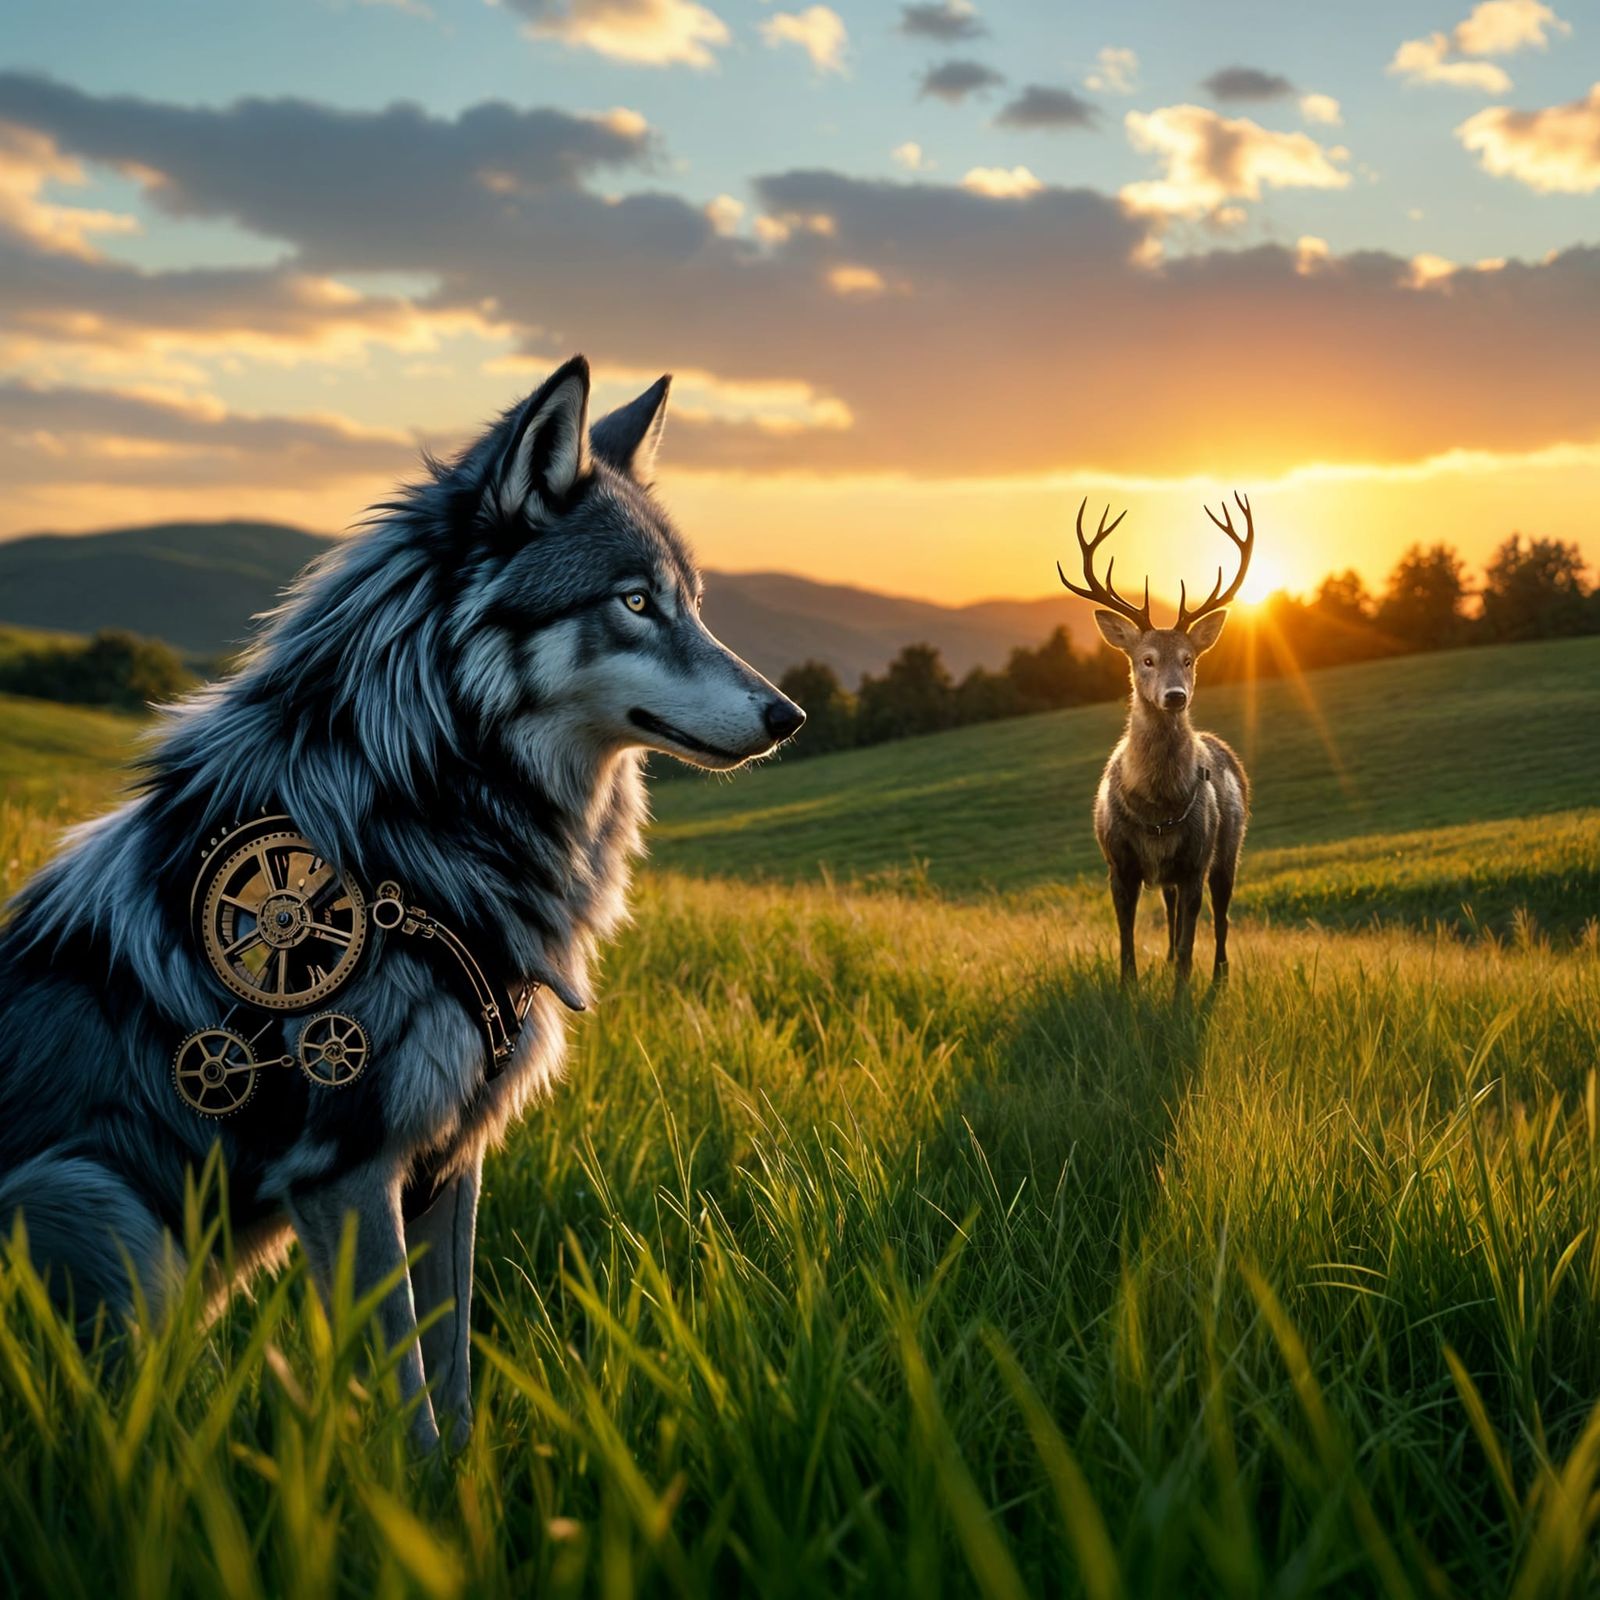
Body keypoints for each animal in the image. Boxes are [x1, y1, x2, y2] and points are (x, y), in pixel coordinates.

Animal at [0, 355, 804, 1448]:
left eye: (693, 603)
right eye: (636, 602)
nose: (790, 715)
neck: (418, 813)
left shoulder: (451, 1159)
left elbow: (454, 1381)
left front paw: (470, 1492)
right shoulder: (348, 1169)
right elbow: (409, 1400)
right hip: (92, 1200)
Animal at [1059, 493, 1255, 989]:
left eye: (1189, 659)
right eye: (1145, 659)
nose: (1175, 695)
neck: (1157, 808)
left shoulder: (1194, 861)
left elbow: (1189, 944)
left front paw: (1181, 995)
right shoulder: (1118, 864)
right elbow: (1126, 943)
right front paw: (1128, 990)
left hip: (1229, 847)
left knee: (1221, 918)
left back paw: (1219, 977)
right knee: (1168, 912)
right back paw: (1165, 962)